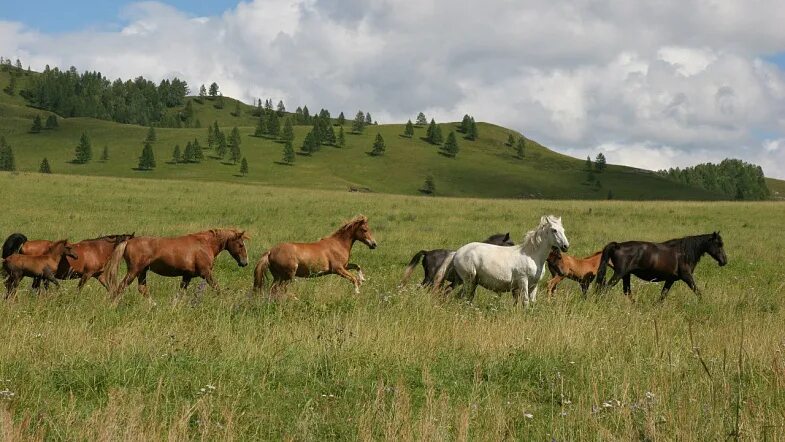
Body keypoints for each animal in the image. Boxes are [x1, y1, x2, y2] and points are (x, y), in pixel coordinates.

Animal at [105, 228, 248, 300]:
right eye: (241, 245)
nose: (245, 262)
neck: (204, 244)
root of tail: (128, 241)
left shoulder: (187, 276)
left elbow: (180, 294)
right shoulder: (206, 273)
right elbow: (217, 288)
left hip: (142, 271)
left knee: (142, 289)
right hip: (134, 270)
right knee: (120, 287)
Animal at [434, 216, 568, 306]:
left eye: (563, 230)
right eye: (554, 230)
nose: (566, 246)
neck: (532, 256)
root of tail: (457, 252)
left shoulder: (534, 285)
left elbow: (531, 302)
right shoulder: (523, 281)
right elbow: (525, 301)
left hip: (466, 281)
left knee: (455, 294)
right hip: (468, 280)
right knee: (462, 296)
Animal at [596, 231, 728, 300]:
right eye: (719, 244)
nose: (724, 261)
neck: (684, 253)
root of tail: (617, 245)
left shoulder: (670, 280)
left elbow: (662, 296)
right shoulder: (687, 277)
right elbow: (697, 291)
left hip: (626, 275)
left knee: (626, 291)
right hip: (619, 274)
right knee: (605, 289)